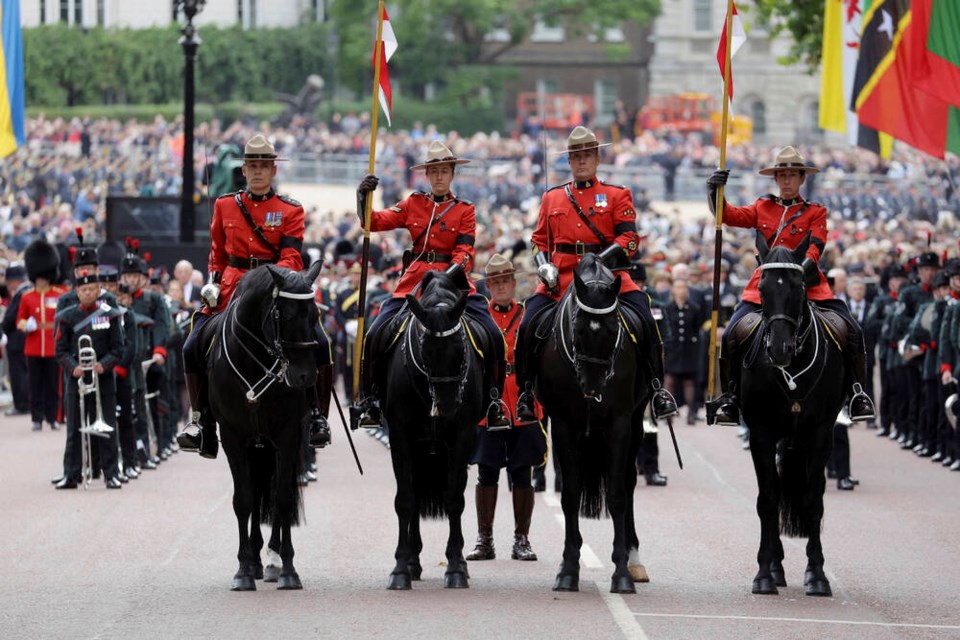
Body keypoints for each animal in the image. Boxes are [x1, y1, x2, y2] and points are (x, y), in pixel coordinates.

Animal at [199, 262, 322, 592]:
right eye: (286, 316)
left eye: (315, 316)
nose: (305, 376)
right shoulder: (232, 436)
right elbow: (244, 500)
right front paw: (243, 570)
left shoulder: (288, 435)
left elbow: (282, 498)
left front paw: (288, 569)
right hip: (255, 445)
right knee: (254, 493)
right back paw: (254, 559)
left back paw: (272, 559)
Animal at [378, 270, 488, 592]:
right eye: (425, 350)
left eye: (461, 348)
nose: (448, 406)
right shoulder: (400, 435)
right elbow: (405, 500)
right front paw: (400, 569)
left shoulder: (463, 435)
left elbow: (454, 499)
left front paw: (456, 568)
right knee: (413, 494)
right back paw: (412, 563)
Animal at [536, 252, 648, 592]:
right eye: (578, 327)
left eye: (613, 329)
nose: (592, 386)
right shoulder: (562, 423)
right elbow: (570, 494)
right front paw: (568, 568)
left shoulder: (620, 422)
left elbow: (617, 495)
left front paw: (621, 572)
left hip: (636, 425)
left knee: (628, 483)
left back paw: (635, 560)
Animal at [740, 232, 844, 596]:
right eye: (762, 288)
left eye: (799, 286)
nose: (779, 350)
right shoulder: (761, 432)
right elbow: (768, 499)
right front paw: (764, 573)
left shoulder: (820, 433)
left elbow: (813, 501)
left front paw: (817, 575)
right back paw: (776, 566)